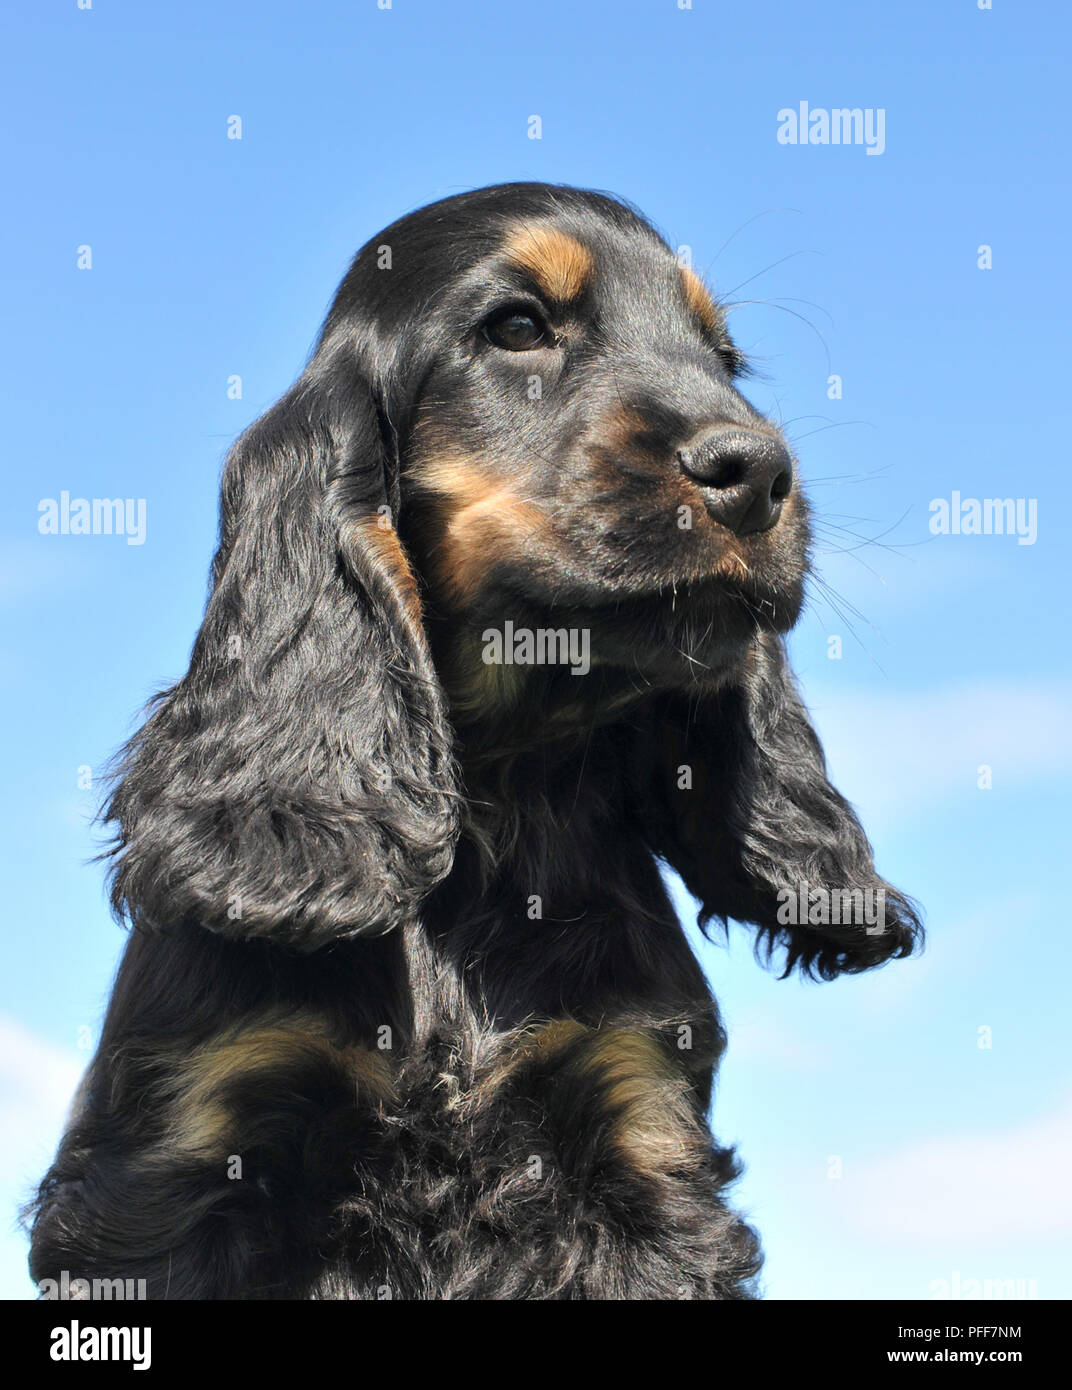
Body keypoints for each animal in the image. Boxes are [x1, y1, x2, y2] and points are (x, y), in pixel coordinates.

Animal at [27, 184, 923, 1301]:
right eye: (517, 328)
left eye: (722, 357)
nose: (759, 472)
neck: (504, 791)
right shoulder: (173, 1163)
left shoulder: (640, 1132)